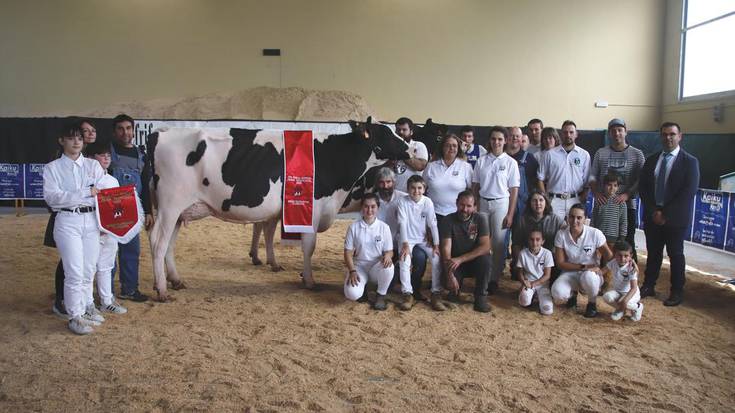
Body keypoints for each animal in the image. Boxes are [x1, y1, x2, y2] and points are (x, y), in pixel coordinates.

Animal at [147, 117, 414, 298]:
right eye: (386, 133)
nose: (411, 148)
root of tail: (163, 132)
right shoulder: (313, 211)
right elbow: (308, 247)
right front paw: (309, 280)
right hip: (170, 205)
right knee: (158, 241)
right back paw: (162, 289)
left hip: (180, 212)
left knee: (169, 244)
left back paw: (175, 280)